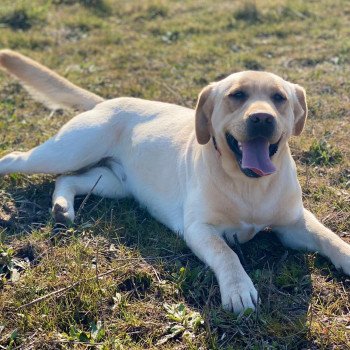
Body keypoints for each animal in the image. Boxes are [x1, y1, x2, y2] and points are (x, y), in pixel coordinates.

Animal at [0, 50, 350, 314]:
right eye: (237, 95)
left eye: (279, 98)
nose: (262, 118)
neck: (248, 184)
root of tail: (106, 101)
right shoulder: (199, 229)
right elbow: (227, 254)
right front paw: (238, 289)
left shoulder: (294, 224)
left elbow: (328, 236)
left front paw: (346, 255)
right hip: (67, 151)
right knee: (17, 159)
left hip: (112, 183)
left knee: (67, 180)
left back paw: (63, 208)